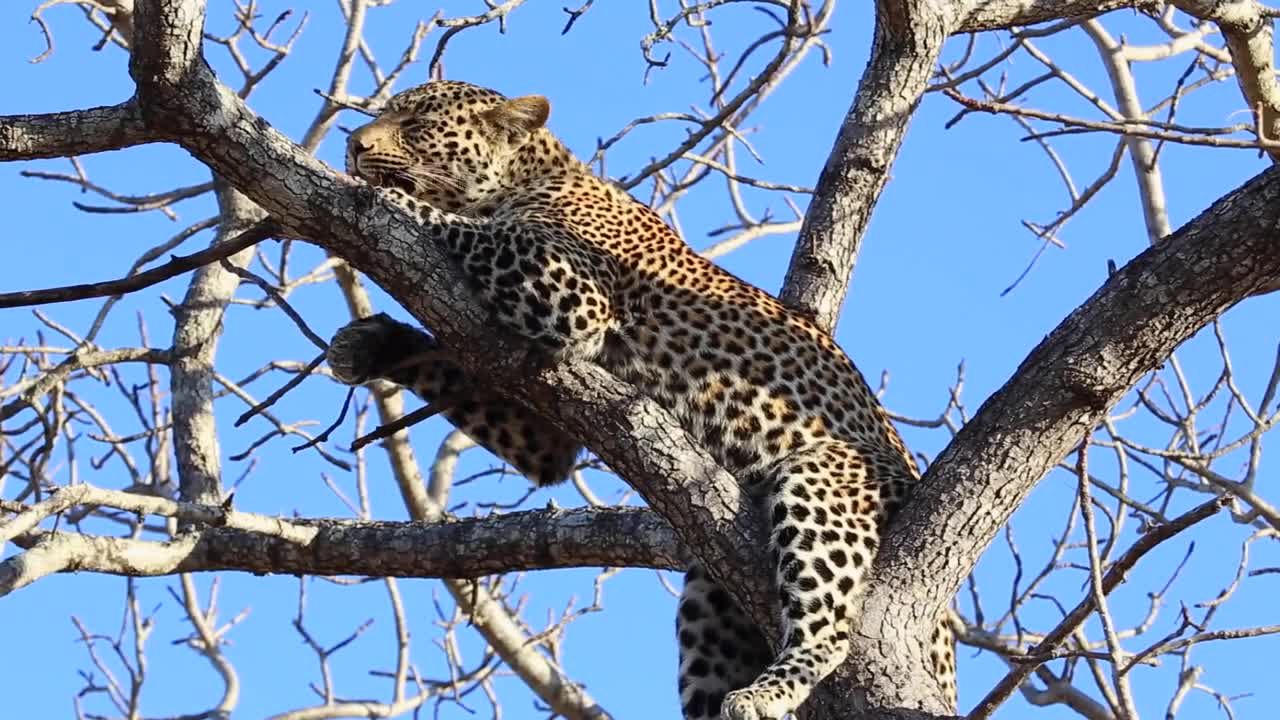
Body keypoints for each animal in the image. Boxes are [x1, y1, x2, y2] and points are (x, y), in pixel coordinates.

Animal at [325, 78, 957, 717]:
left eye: (417, 124)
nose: (353, 145)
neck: (527, 177)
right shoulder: (540, 425)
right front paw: (373, 345)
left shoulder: (571, 292)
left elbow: (460, 226)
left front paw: (382, 198)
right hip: (710, 608)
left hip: (825, 483)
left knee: (828, 633)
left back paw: (767, 690)